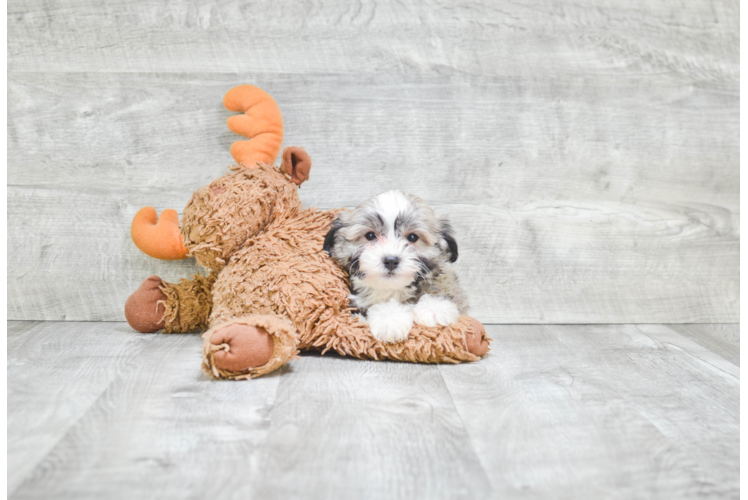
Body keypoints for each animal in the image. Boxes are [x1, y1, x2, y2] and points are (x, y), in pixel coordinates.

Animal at [322, 190, 468, 344]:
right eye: (370, 235)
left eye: (412, 237)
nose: (391, 261)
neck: (391, 288)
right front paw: (389, 319)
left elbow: (443, 284)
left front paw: (435, 307)